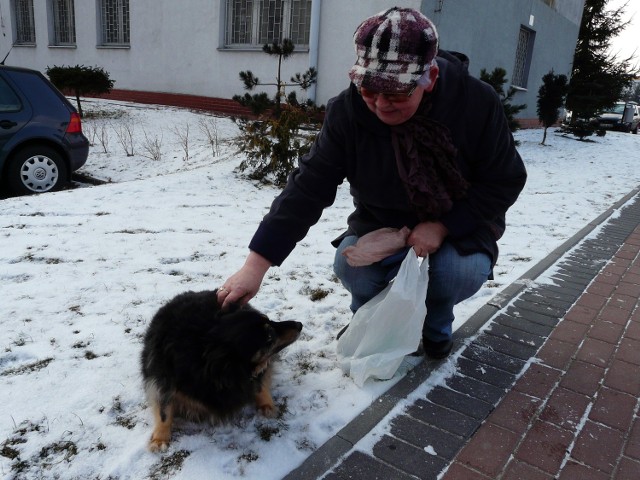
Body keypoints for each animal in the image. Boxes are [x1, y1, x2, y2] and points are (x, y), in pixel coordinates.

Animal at [141, 288, 302, 454]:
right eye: (269, 336)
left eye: (269, 320)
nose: (299, 324)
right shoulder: (162, 377)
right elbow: (164, 411)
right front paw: (160, 439)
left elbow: (260, 385)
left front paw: (266, 405)